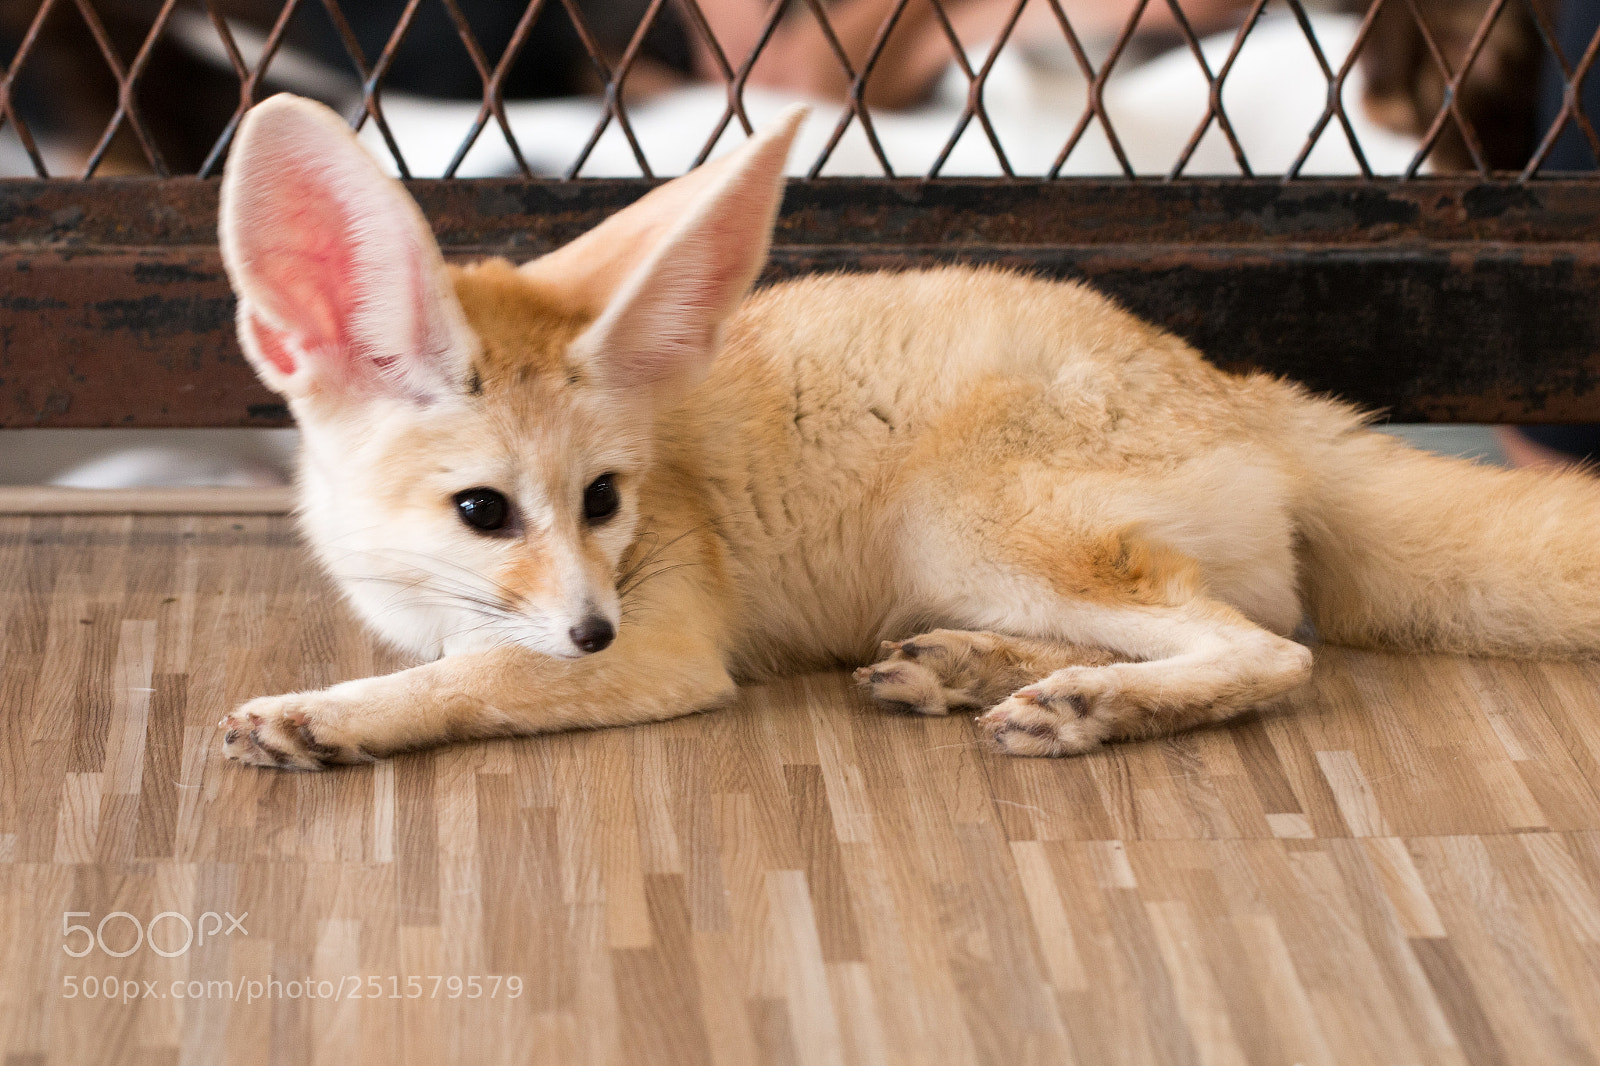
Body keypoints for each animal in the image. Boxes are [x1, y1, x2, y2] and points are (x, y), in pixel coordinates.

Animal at [217, 93, 1600, 770]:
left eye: (604, 498)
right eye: (483, 510)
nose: (590, 629)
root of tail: (1234, 379)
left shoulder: (665, 647)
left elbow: (476, 680)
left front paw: (331, 716)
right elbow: (469, 661)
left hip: (973, 527)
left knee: (1273, 651)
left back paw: (1086, 705)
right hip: (969, 560)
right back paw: (979, 670)